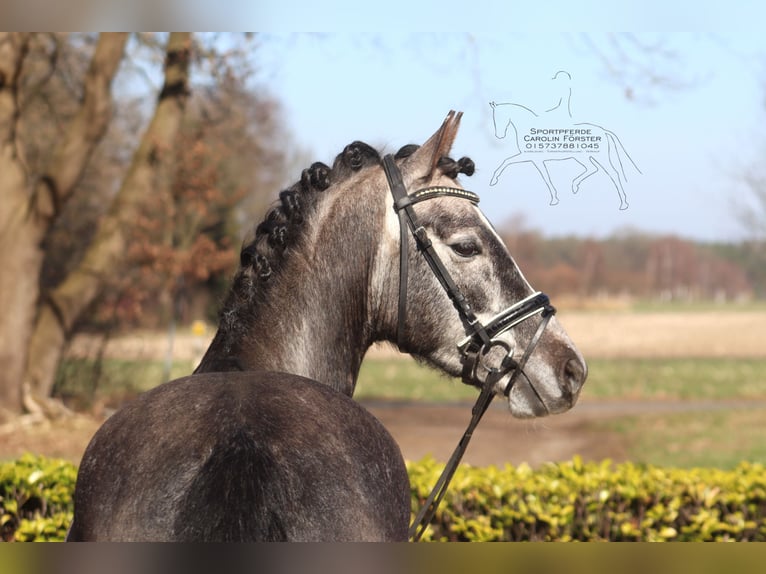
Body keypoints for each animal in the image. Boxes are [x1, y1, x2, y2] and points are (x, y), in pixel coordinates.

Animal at [489, 99, 640, 210]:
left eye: (498, 118)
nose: (499, 136)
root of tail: (603, 131)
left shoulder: (530, 157)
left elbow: (507, 162)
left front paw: (493, 180)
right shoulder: (535, 160)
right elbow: (545, 177)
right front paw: (555, 199)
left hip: (599, 157)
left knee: (613, 174)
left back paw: (623, 204)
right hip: (582, 157)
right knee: (593, 168)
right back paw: (575, 186)